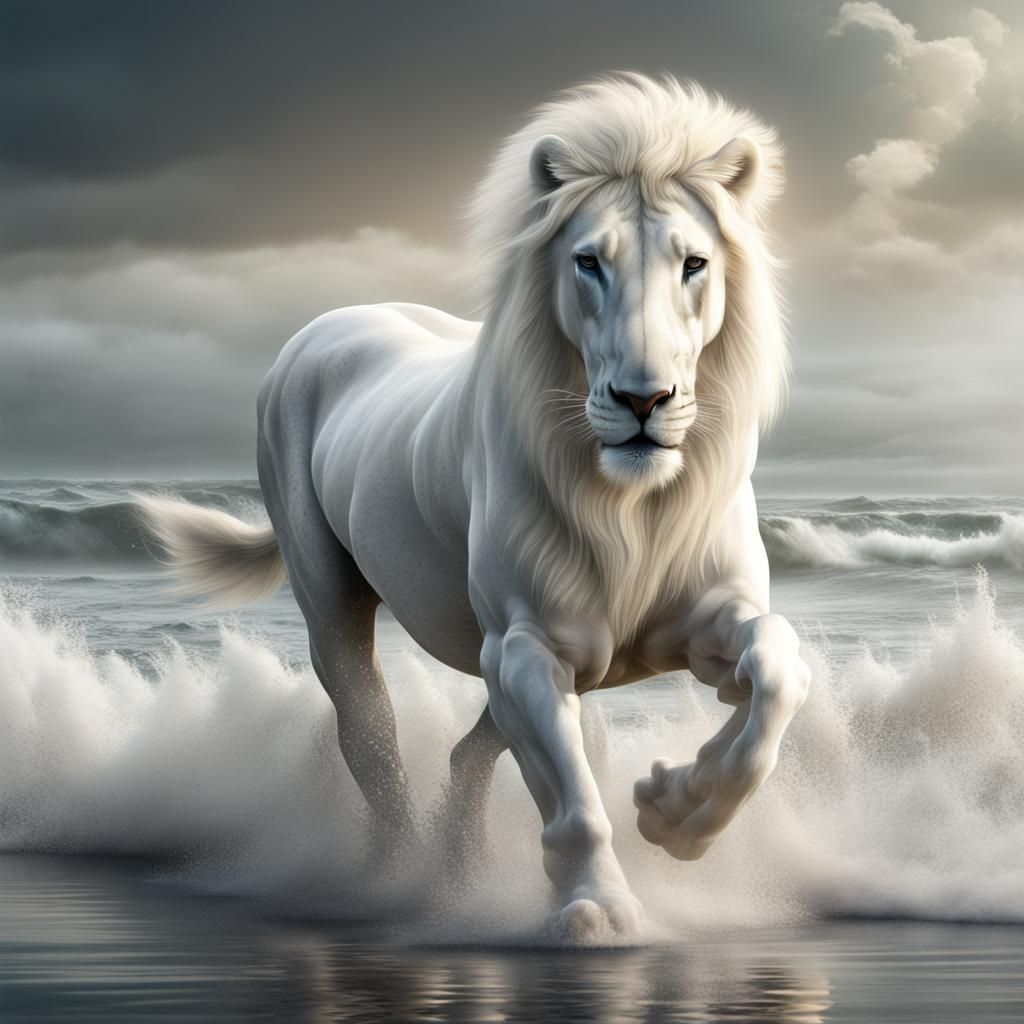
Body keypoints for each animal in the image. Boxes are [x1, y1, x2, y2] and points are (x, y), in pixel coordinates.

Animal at [139, 73, 810, 941]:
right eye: (588, 262)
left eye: (694, 262)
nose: (643, 400)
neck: (634, 503)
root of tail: (331, 319)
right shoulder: (525, 648)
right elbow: (572, 796)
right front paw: (597, 907)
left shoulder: (704, 624)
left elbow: (778, 673)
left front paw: (678, 812)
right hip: (337, 609)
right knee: (371, 739)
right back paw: (402, 883)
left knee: (471, 752)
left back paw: (463, 868)